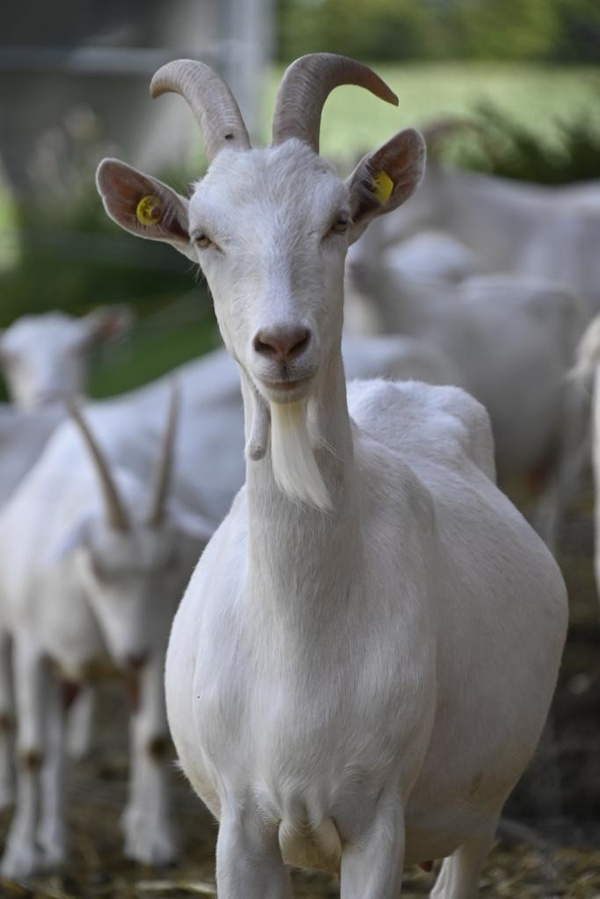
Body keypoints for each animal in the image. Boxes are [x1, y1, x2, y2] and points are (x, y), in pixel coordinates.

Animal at [97, 53, 568, 897]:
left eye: (338, 219)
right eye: (204, 237)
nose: (282, 342)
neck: (302, 631)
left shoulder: (377, 818)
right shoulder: (243, 826)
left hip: (478, 810)